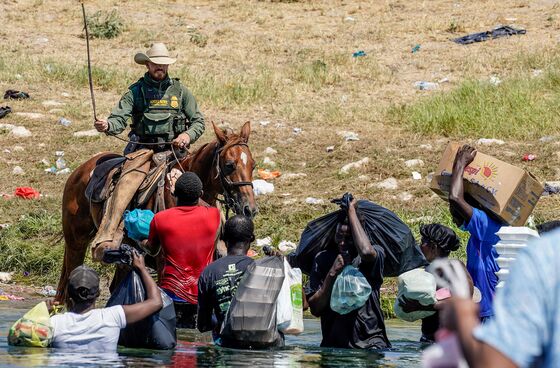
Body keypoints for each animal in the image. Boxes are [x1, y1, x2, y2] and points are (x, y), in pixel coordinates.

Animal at [55, 122, 258, 300]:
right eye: (229, 165)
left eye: (253, 165)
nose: (249, 208)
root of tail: (80, 170)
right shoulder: (163, 261)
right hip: (76, 243)